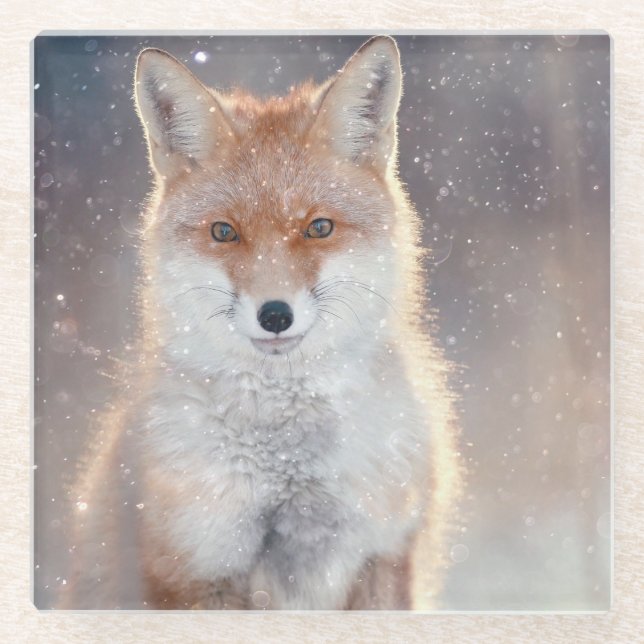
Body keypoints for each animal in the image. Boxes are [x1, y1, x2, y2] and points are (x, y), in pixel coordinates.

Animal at [60, 35, 462, 610]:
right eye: (224, 232)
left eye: (319, 228)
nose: (275, 315)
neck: (288, 464)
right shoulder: (196, 566)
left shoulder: (381, 553)